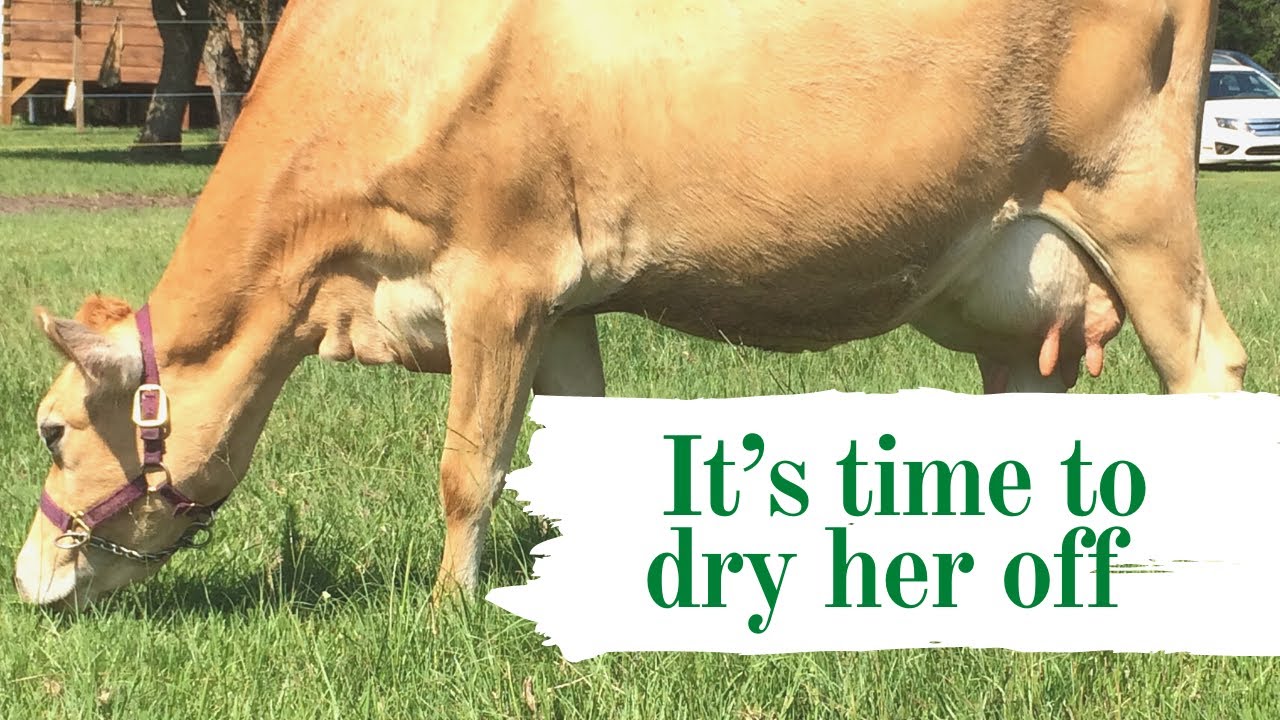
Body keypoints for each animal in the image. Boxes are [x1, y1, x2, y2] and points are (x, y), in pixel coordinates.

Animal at [14, 0, 1247, 608]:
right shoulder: (560, 304)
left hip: (1136, 202)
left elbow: (467, 468)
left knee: (1208, 370)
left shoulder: (498, 275)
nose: (27, 578)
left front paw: (448, 611)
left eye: (52, 429)